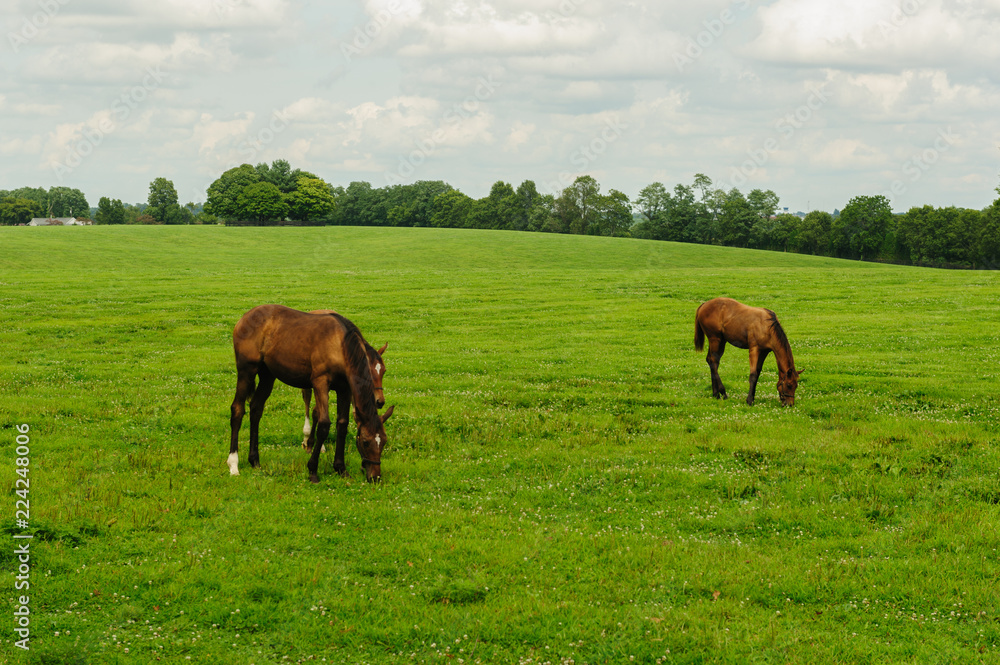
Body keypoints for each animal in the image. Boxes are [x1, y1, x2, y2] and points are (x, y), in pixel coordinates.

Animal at [298, 312, 384, 452]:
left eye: (384, 371)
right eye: (369, 373)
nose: (380, 401)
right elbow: (317, 412)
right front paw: (314, 444)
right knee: (307, 402)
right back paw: (306, 436)